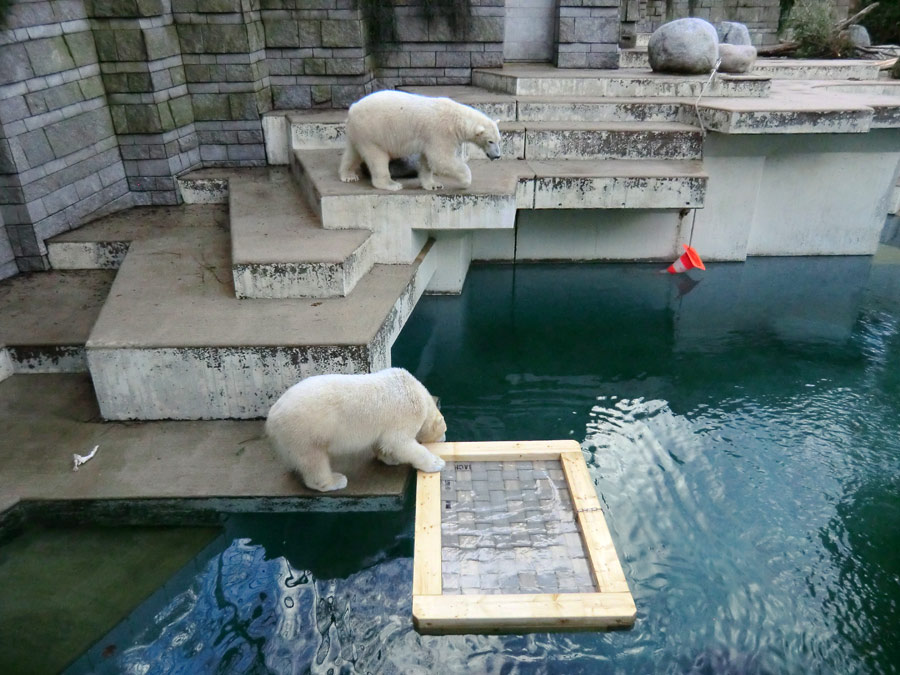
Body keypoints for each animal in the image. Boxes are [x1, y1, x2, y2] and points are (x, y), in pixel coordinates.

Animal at [268, 368, 450, 494]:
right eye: (444, 430)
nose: (444, 438)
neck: (416, 392)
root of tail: (272, 416)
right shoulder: (406, 413)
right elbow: (398, 442)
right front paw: (436, 462)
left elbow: (383, 442)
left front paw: (390, 459)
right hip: (304, 431)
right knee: (313, 459)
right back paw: (336, 480)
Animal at [340, 88, 502, 191]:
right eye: (490, 141)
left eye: (499, 140)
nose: (497, 156)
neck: (457, 119)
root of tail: (353, 108)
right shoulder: (440, 132)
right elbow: (441, 159)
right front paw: (465, 181)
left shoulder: (429, 138)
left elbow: (427, 161)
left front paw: (433, 185)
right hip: (373, 131)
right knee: (377, 157)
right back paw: (391, 184)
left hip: (358, 132)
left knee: (353, 153)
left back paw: (348, 176)